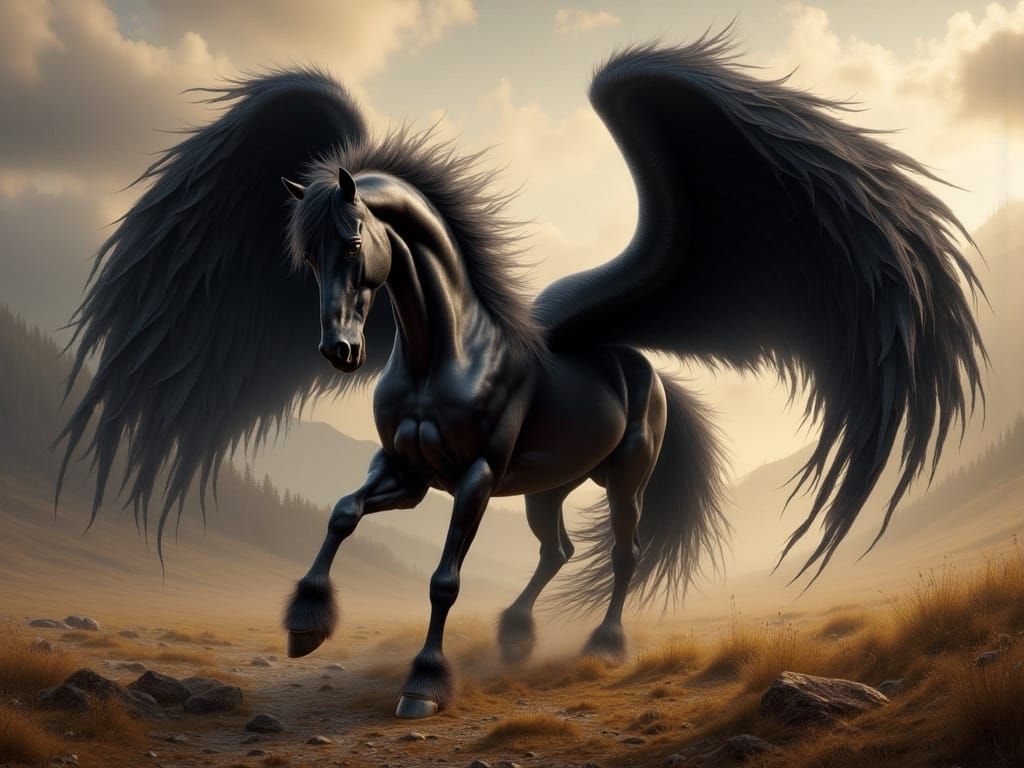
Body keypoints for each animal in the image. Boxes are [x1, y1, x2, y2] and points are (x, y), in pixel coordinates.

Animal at [58, 31, 983, 719]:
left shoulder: (469, 477)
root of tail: (647, 369)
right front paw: (306, 623)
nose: (340, 353)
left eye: (352, 243)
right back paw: (514, 631)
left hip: (622, 478)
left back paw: (603, 644)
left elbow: (443, 577)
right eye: (303, 254)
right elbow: (342, 513)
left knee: (623, 552)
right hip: (546, 485)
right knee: (558, 547)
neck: (441, 354)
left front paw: (424, 684)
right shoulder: (407, 470)